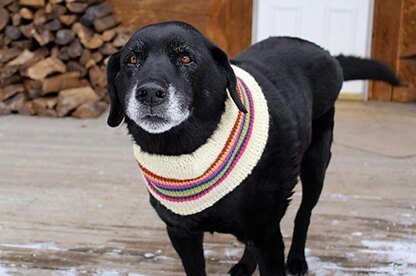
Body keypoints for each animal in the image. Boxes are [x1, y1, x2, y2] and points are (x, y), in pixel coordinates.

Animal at [107, 20, 400, 274]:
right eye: (132, 60)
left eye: (186, 58)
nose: (149, 93)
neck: (188, 151)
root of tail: (326, 54)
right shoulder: (182, 233)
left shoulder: (267, 236)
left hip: (316, 165)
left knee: (303, 214)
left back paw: (297, 259)